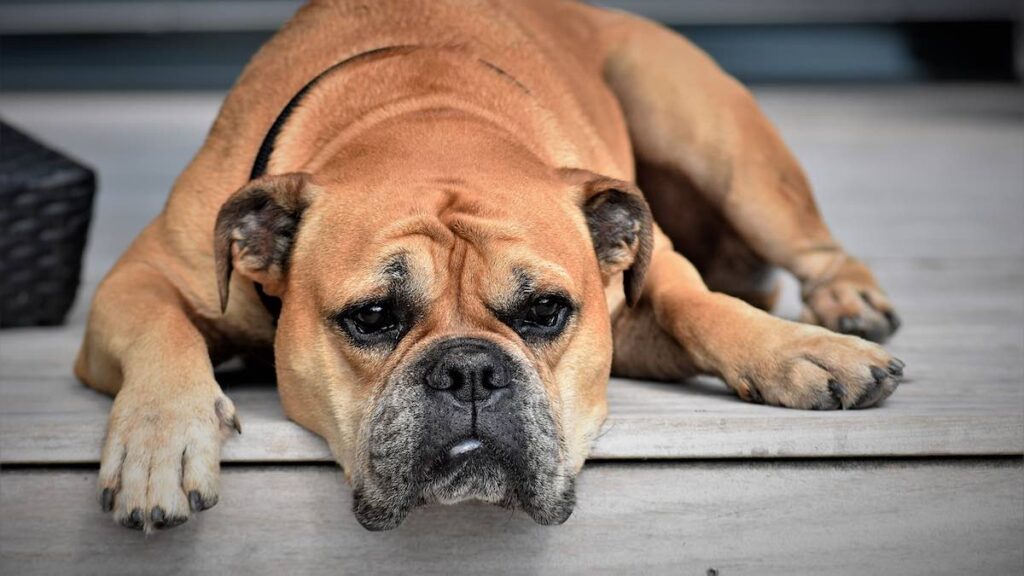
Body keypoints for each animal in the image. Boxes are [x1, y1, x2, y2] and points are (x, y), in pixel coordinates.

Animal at [74, 0, 905, 532]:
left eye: (545, 311)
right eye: (372, 317)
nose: (470, 370)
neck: (422, 115)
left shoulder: (647, 282)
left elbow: (699, 304)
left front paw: (800, 350)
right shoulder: (136, 280)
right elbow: (161, 329)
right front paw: (159, 442)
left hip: (718, 141)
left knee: (807, 245)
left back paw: (847, 305)